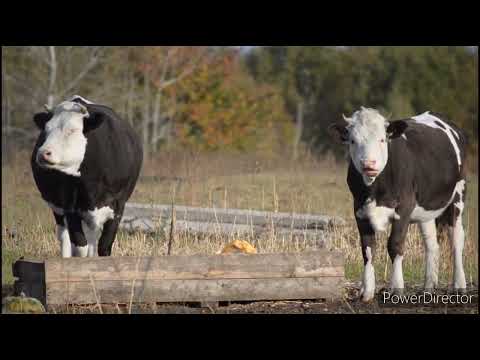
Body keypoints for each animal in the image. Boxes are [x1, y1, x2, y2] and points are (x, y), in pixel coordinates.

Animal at [30, 94, 141, 258]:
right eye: (46, 130)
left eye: (72, 130)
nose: (43, 152)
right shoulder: (69, 207)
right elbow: (80, 247)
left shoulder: (118, 206)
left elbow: (104, 247)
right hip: (59, 210)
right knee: (64, 237)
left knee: (92, 240)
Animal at [330, 106, 468, 300]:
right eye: (353, 141)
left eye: (382, 139)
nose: (368, 164)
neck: (375, 190)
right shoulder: (359, 210)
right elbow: (367, 248)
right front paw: (367, 291)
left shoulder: (404, 207)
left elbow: (394, 245)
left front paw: (397, 288)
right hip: (425, 210)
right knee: (432, 244)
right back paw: (428, 287)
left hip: (457, 196)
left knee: (456, 239)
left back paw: (459, 286)